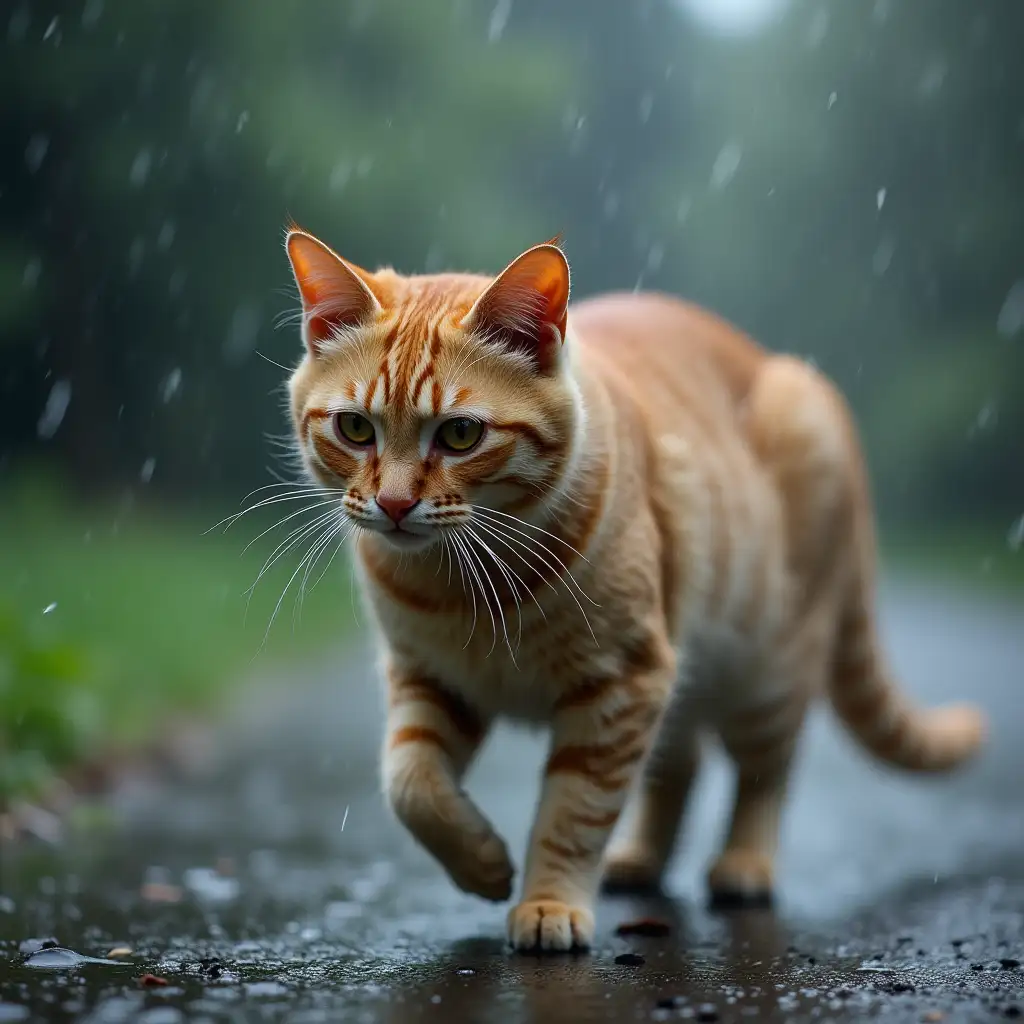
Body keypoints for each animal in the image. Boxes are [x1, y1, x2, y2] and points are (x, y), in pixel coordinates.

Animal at [280, 228, 983, 954]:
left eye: (460, 433)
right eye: (355, 428)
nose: (392, 505)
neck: (460, 580)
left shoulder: (618, 681)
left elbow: (574, 811)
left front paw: (548, 903)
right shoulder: (431, 678)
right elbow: (411, 784)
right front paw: (483, 864)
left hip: (767, 666)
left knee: (766, 770)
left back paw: (745, 864)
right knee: (681, 761)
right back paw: (640, 859)